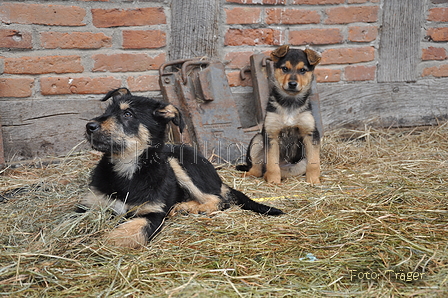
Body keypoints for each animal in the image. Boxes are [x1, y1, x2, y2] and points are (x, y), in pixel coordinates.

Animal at [81, 88, 284, 249]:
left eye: (128, 114)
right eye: (107, 111)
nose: (89, 126)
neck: (127, 168)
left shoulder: (154, 213)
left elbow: (133, 229)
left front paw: (103, 243)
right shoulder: (88, 205)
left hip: (179, 162)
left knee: (220, 200)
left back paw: (197, 209)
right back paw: (185, 207)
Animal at [238, 44, 322, 185]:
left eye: (303, 70)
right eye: (285, 68)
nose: (292, 84)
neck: (289, 103)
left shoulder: (310, 133)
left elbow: (314, 162)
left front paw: (314, 181)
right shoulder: (271, 134)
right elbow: (272, 163)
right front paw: (273, 182)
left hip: (299, 164)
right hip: (258, 139)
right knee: (258, 169)